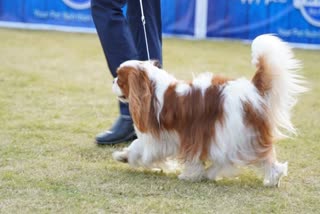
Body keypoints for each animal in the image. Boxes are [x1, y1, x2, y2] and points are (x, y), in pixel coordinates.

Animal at [110, 34, 308, 186]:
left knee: (242, 157)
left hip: (232, 134)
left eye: (119, 78)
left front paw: (127, 157)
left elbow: (141, 149)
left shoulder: (165, 138)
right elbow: (137, 146)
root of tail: (253, 90)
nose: (112, 81)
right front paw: (123, 155)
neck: (153, 88)